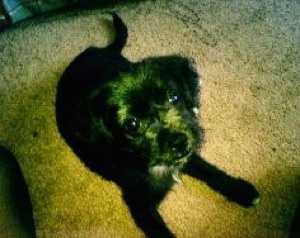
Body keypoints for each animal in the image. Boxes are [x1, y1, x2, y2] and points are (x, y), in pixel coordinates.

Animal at [55, 13, 260, 237]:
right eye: (132, 124)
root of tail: (95, 49)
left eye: (174, 96)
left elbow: (209, 170)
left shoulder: (188, 156)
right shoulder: (140, 206)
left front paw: (239, 189)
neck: (155, 164)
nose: (179, 142)